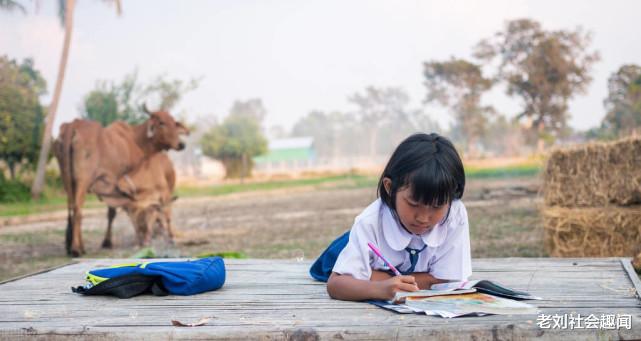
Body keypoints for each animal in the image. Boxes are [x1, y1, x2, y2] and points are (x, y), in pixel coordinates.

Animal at [54, 106, 188, 255]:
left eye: (174, 123)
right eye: (161, 122)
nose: (181, 144)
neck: (136, 139)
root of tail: (73, 125)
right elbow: (119, 212)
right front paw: (108, 242)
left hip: (67, 178)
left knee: (70, 207)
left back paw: (72, 245)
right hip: (83, 179)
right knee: (78, 208)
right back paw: (77, 248)